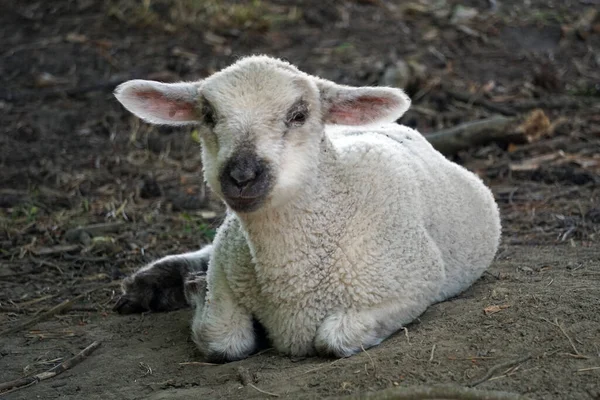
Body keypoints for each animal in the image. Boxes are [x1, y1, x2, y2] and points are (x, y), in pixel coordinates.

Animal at [112, 56, 502, 362]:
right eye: (208, 115)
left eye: (299, 115)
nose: (241, 176)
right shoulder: (226, 272)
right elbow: (221, 340)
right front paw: (192, 291)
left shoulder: (413, 285)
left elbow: (333, 339)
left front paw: (192, 290)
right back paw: (150, 283)